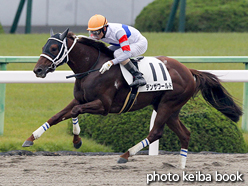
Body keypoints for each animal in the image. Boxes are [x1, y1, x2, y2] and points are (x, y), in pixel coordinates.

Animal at [21, 28, 242, 169]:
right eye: (44, 46)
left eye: (53, 48)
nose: (37, 70)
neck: (92, 68)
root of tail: (188, 70)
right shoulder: (80, 100)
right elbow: (57, 116)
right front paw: (31, 138)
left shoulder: (103, 106)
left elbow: (74, 112)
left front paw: (77, 140)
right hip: (169, 108)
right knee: (185, 134)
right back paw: (181, 166)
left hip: (168, 104)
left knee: (156, 132)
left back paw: (125, 155)